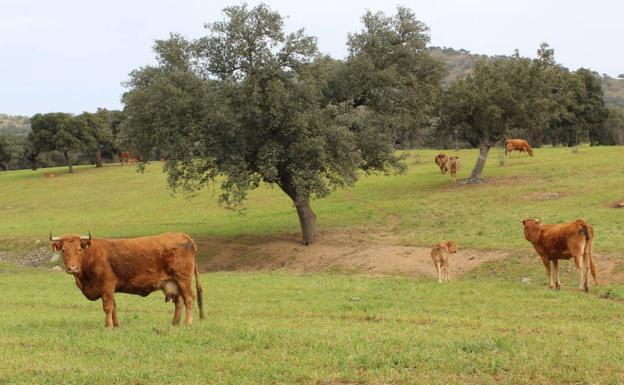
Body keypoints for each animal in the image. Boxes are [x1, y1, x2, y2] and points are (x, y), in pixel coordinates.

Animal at [50, 231, 205, 328]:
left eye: (79, 250)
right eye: (63, 250)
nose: (72, 268)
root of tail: (184, 235)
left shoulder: (107, 285)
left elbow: (108, 307)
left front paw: (108, 326)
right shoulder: (109, 289)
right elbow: (114, 306)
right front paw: (116, 325)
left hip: (183, 279)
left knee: (189, 299)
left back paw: (188, 323)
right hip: (173, 283)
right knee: (179, 302)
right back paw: (174, 324)